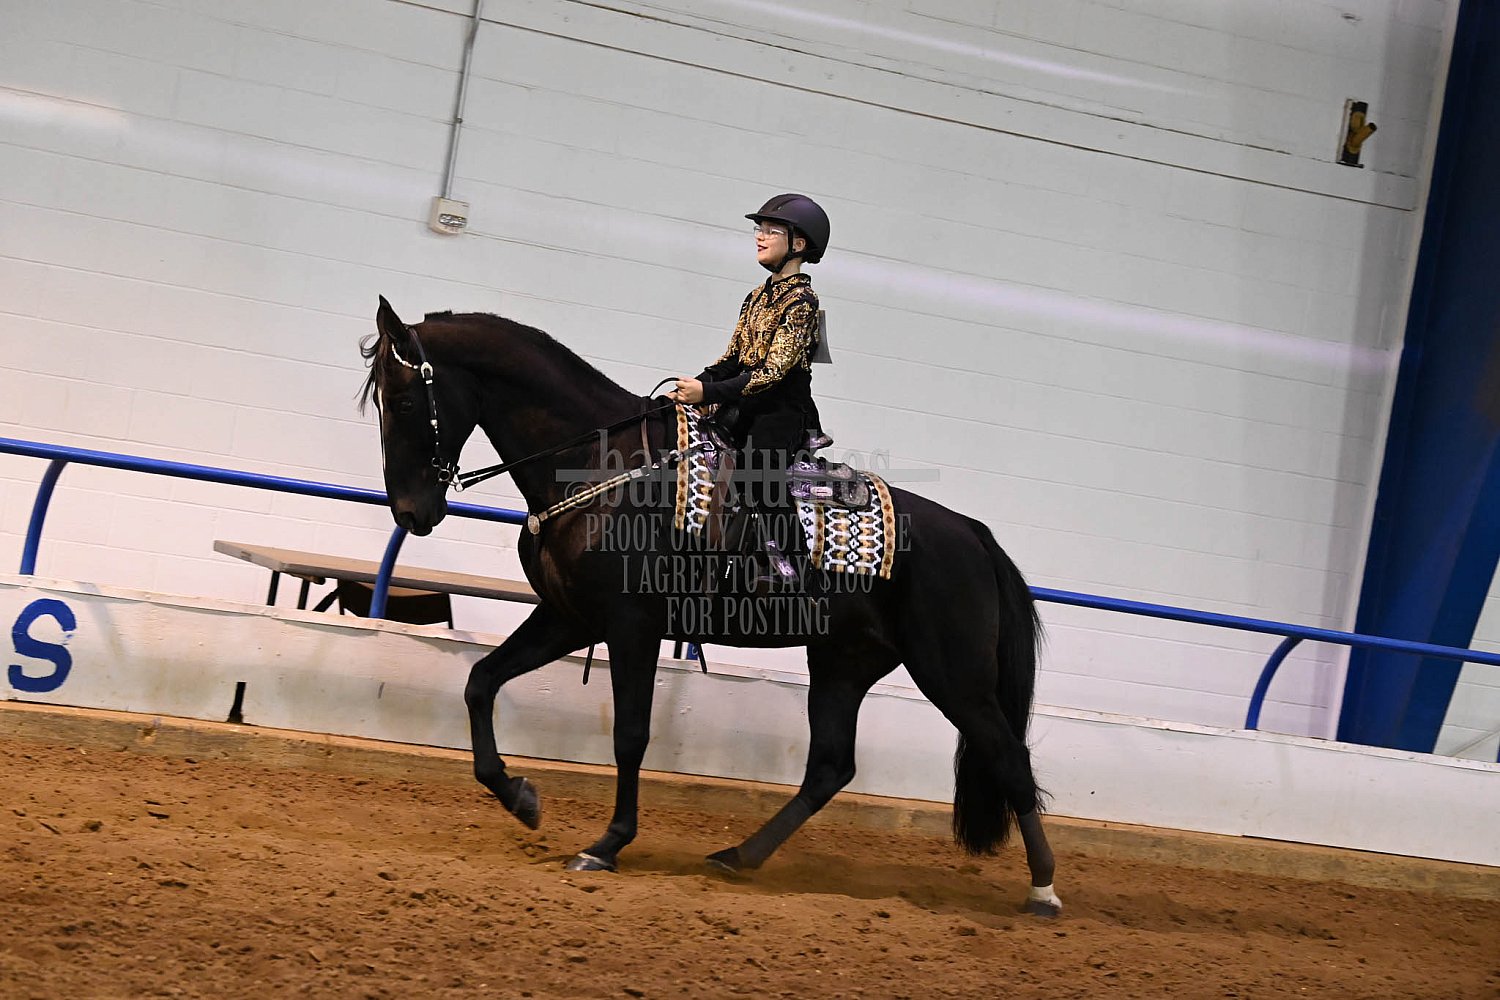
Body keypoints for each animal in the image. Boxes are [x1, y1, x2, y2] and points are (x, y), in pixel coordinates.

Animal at [361, 297, 1063, 916]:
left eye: (405, 400)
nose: (411, 512)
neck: (600, 470)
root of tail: (971, 534)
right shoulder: (569, 618)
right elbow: (481, 682)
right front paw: (520, 797)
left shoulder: (632, 628)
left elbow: (630, 735)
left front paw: (606, 845)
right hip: (844, 662)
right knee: (830, 766)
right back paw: (738, 856)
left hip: (952, 674)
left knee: (1008, 758)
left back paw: (1045, 891)